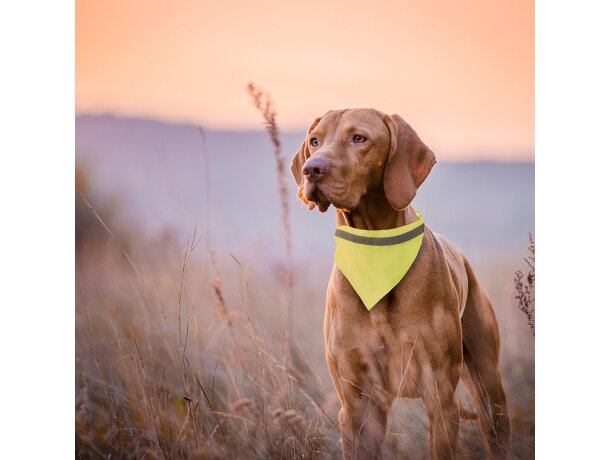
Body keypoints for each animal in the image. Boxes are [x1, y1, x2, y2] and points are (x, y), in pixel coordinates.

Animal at [290, 108, 508, 460]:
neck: (375, 253)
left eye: (359, 138)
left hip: (489, 388)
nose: (312, 169)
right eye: (314, 141)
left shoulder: (440, 398)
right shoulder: (357, 405)